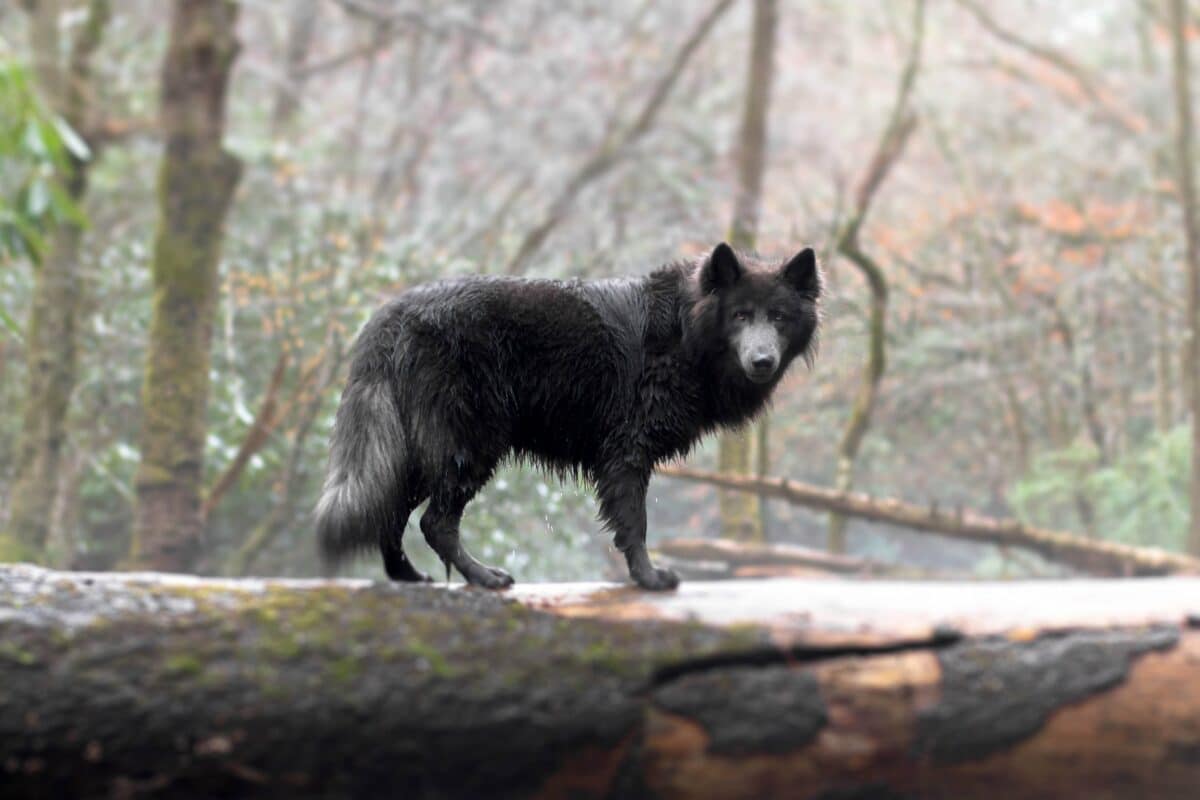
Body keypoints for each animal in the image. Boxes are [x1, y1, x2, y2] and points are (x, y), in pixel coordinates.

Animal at [314, 242, 820, 587]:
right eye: (739, 316)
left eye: (778, 317)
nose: (762, 361)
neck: (684, 334)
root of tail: (393, 313)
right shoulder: (627, 455)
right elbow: (634, 524)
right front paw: (648, 579)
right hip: (469, 448)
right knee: (434, 523)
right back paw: (484, 578)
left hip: (424, 451)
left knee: (392, 511)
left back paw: (408, 578)